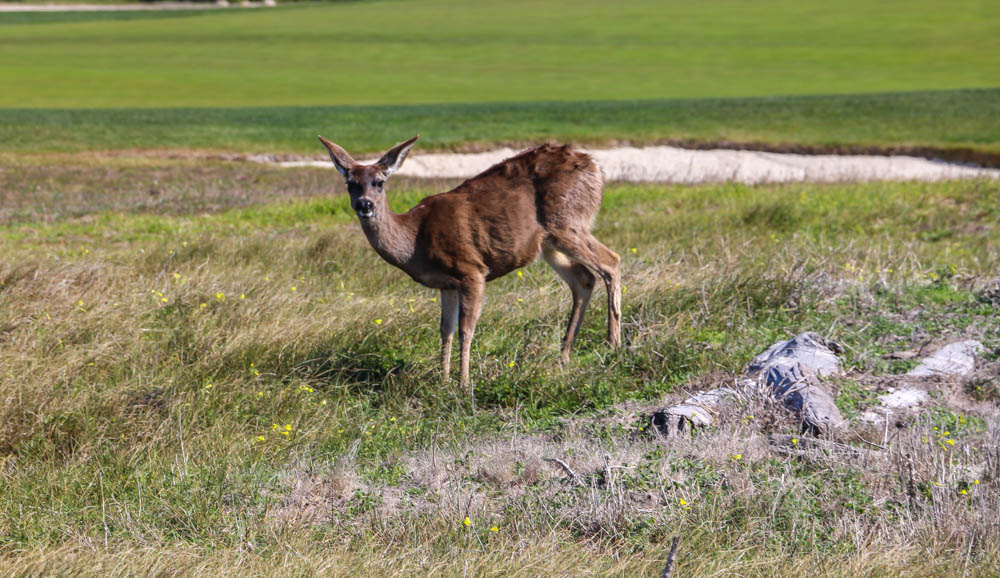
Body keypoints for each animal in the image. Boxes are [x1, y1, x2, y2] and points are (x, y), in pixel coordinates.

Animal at [316, 136, 620, 392]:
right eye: (350, 183)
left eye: (379, 182)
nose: (364, 204)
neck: (415, 241)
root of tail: (596, 167)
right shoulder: (447, 284)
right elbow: (445, 330)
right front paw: (443, 379)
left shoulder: (471, 269)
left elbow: (466, 329)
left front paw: (463, 383)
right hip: (548, 243)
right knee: (584, 279)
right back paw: (565, 355)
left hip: (567, 222)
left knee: (611, 262)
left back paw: (614, 345)